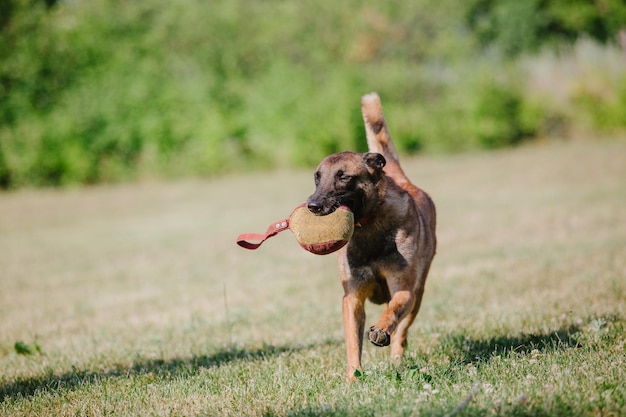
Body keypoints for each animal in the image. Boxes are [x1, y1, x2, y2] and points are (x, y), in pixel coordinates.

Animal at [306, 92, 434, 378]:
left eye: (344, 177)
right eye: (317, 178)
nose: (312, 205)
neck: (369, 229)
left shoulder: (403, 288)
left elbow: (393, 312)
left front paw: (381, 330)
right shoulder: (352, 298)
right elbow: (353, 343)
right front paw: (353, 378)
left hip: (418, 296)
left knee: (402, 333)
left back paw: (396, 357)